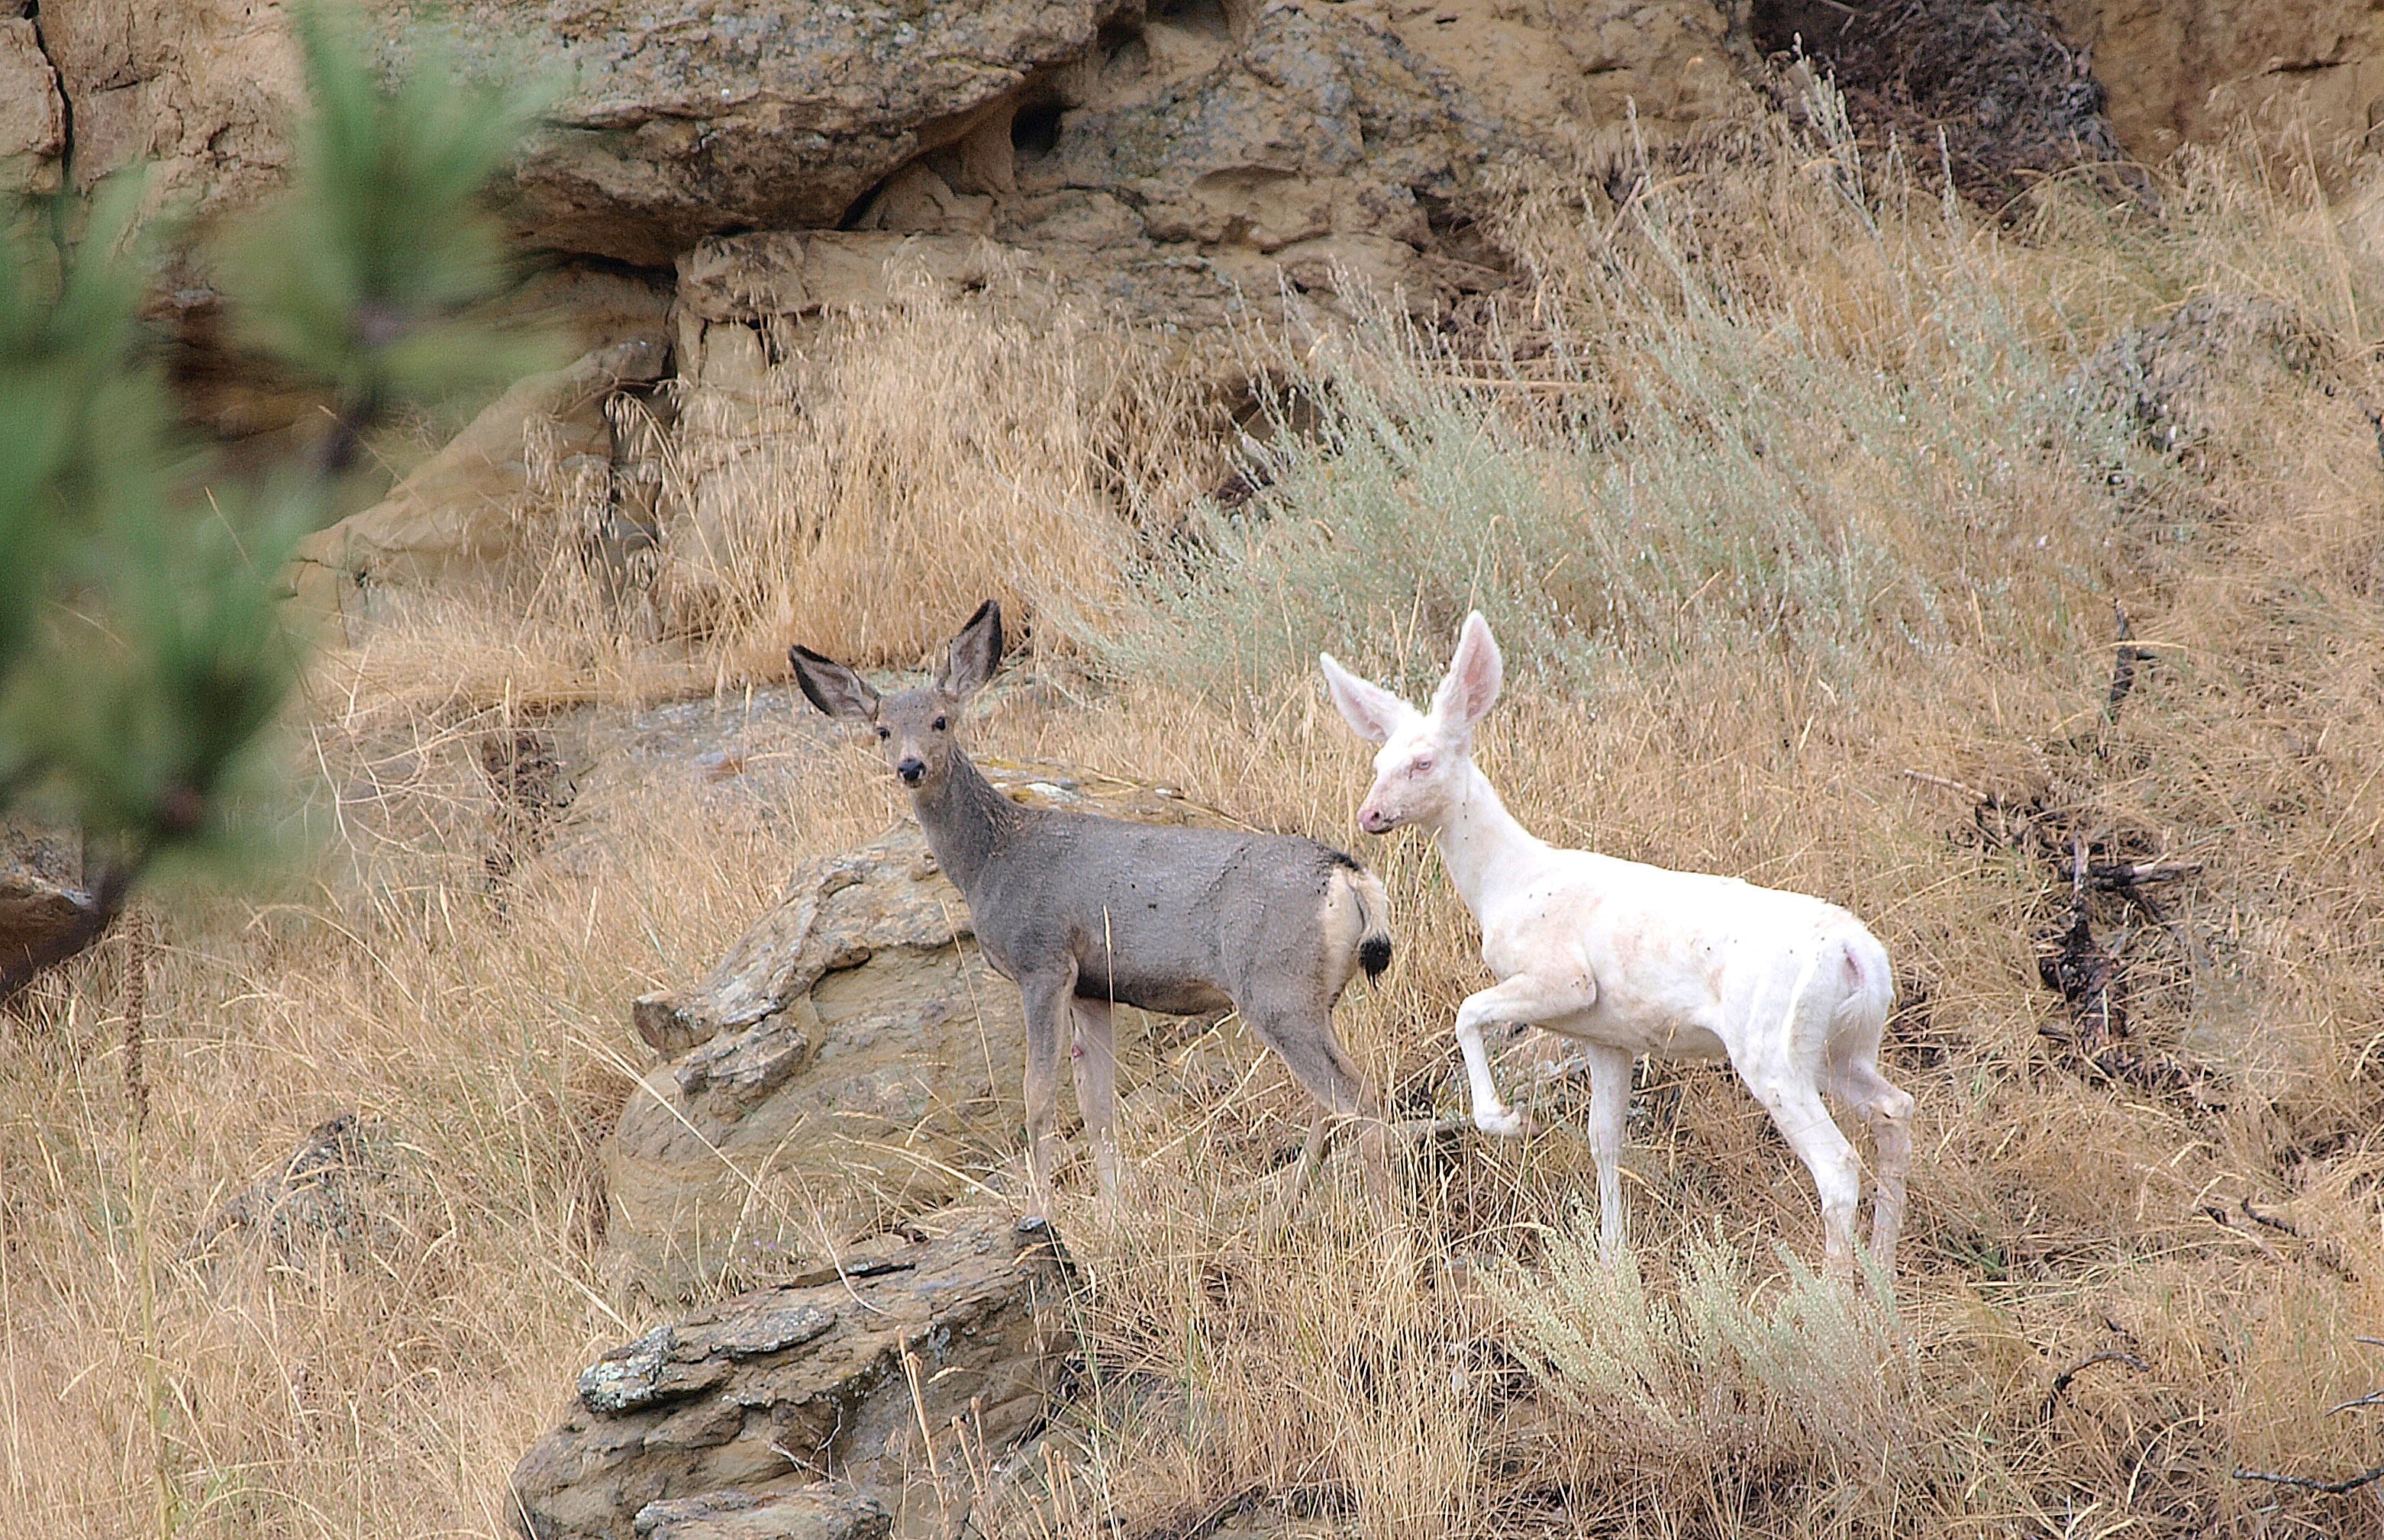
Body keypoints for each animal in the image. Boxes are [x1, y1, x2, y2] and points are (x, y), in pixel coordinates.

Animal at [791, 600, 1393, 1227]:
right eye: (882, 730)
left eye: (940, 721)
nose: (909, 767)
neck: (992, 859)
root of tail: (1348, 875)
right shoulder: (1092, 987)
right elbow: (1096, 1104)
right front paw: (1114, 1211)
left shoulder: (1043, 961)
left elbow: (1038, 1095)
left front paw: (1038, 1212)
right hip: (1312, 994)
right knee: (1331, 1098)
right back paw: (1291, 1201)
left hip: (1274, 984)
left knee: (1356, 1094)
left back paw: (1381, 1215)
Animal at [1319, 613, 1914, 1281]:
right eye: (1377, 760)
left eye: (1421, 763)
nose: (1370, 814)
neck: (1506, 882)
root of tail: (1856, 953)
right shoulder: (1606, 1033)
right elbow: (1604, 1139)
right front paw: (1610, 1257)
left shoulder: (1562, 979)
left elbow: (1467, 1012)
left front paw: (1506, 1120)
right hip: (1840, 1045)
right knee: (1895, 1110)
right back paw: (1882, 1273)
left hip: (1771, 1043)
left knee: (1836, 1164)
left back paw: (1832, 1292)